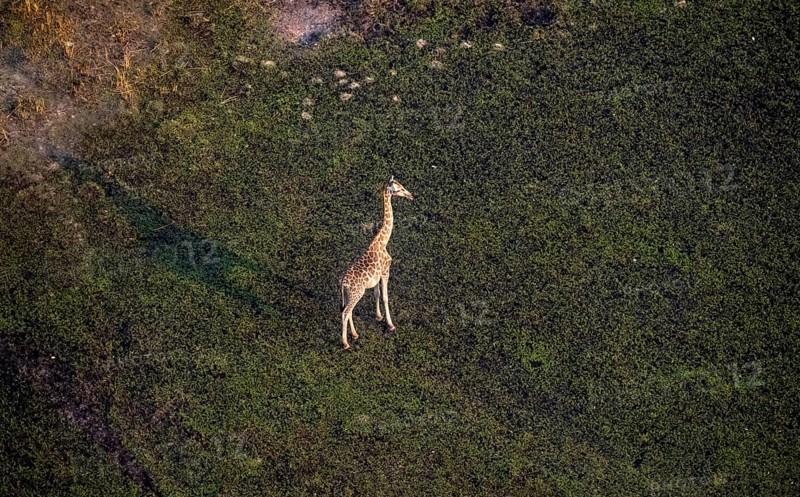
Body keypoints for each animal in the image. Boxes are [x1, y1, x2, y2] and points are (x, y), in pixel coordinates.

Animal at [339, 176, 414, 349]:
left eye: (402, 186)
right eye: (399, 189)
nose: (410, 195)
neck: (383, 241)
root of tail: (342, 283)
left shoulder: (377, 275)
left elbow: (377, 293)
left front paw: (378, 316)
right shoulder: (386, 271)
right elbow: (385, 296)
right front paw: (391, 325)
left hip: (348, 294)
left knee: (348, 311)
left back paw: (355, 335)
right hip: (356, 293)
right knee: (345, 313)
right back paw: (345, 343)